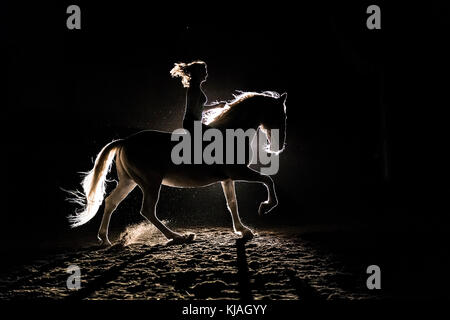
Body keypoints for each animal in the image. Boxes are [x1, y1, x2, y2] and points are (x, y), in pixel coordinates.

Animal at [67, 91, 288, 246]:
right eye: (281, 115)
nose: (279, 147)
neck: (230, 133)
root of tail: (125, 141)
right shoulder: (238, 172)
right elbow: (268, 181)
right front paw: (266, 207)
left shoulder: (227, 178)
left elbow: (232, 204)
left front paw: (243, 230)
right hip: (150, 183)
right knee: (147, 210)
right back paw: (179, 237)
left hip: (129, 182)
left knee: (111, 202)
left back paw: (105, 240)